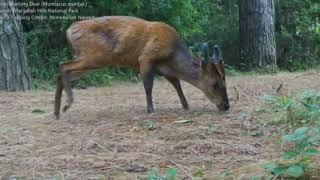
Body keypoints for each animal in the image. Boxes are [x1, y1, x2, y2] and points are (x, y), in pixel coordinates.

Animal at [55, 15, 230, 119]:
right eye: (215, 84)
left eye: (225, 81)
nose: (226, 105)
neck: (172, 54)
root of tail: (69, 31)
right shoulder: (146, 58)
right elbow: (148, 86)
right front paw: (150, 109)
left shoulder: (166, 70)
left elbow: (177, 85)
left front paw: (186, 106)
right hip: (94, 56)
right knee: (63, 66)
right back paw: (66, 104)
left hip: (92, 62)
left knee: (62, 74)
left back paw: (57, 111)